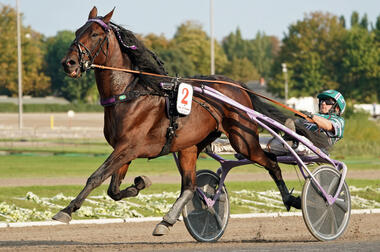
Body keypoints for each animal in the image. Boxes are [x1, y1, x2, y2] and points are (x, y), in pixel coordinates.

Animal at [54, 7, 330, 236]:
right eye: (77, 31)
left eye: (95, 34)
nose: (68, 63)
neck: (130, 92)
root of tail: (236, 85)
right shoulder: (125, 150)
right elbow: (113, 189)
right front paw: (140, 183)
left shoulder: (128, 147)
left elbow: (96, 177)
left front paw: (66, 211)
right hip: (189, 146)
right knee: (189, 185)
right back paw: (166, 221)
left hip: (243, 140)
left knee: (272, 163)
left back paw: (303, 199)